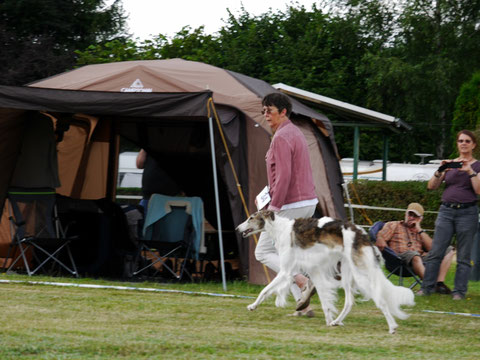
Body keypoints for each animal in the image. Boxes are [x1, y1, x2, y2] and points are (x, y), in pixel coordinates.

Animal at [238, 210, 414, 334]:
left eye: (251, 217)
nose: (237, 228)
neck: (280, 229)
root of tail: (362, 234)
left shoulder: (286, 270)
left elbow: (265, 290)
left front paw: (252, 305)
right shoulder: (315, 271)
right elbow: (324, 300)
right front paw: (329, 320)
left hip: (360, 274)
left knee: (381, 300)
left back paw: (392, 327)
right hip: (348, 273)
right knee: (349, 302)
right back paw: (336, 321)